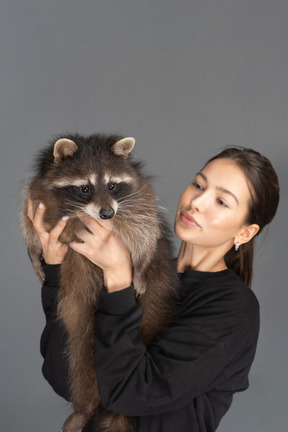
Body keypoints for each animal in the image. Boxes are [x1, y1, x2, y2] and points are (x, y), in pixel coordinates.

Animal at [21, 132, 179, 432]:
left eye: (113, 185)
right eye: (84, 188)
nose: (107, 213)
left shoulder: (139, 197)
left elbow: (144, 229)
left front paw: (140, 267)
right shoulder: (38, 195)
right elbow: (30, 221)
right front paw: (35, 253)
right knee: (81, 349)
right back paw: (85, 408)